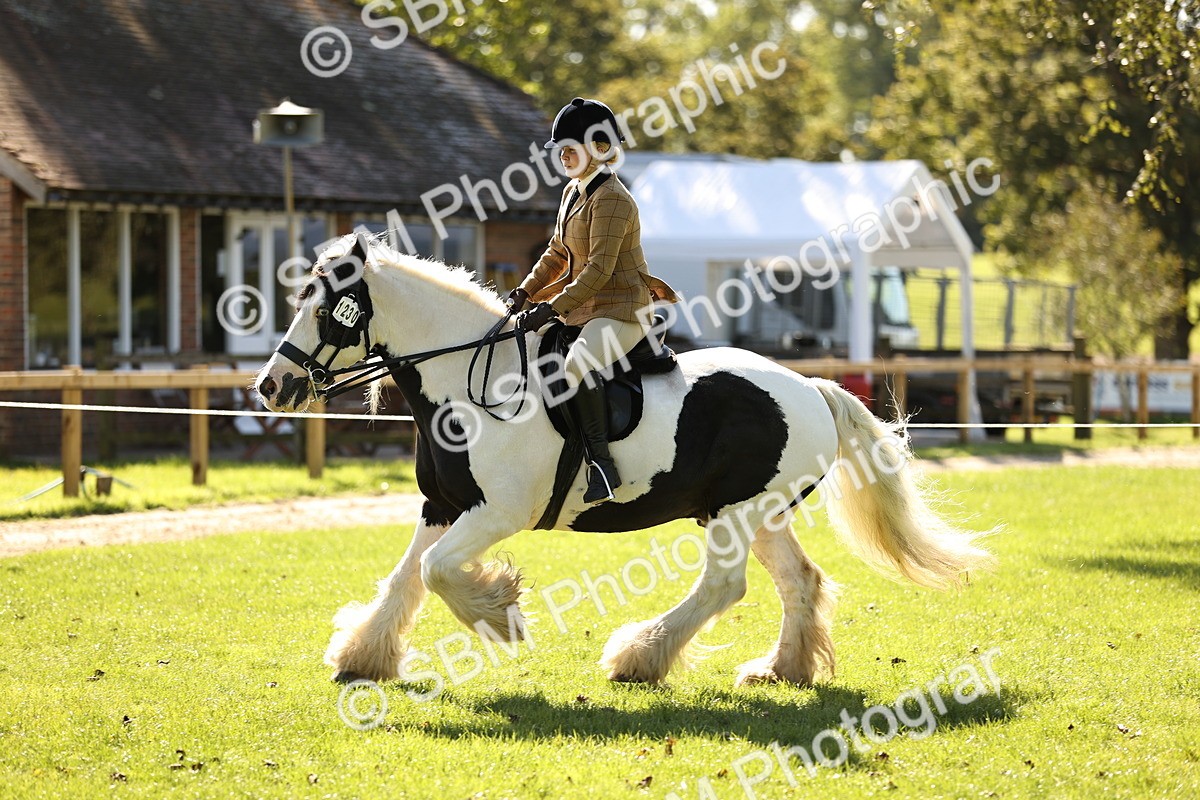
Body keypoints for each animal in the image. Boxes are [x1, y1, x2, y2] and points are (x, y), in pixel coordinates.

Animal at [254, 232, 995, 688]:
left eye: (331, 307)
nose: (271, 387)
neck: (465, 381)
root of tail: (810, 387)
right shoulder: (443, 506)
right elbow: (406, 578)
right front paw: (362, 655)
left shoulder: (497, 512)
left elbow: (437, 572)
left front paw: (499, 612)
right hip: (761, 514)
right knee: (799, 582)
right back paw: (779, 670)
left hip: (732, 515)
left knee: (726, 587)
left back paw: (638, 657)